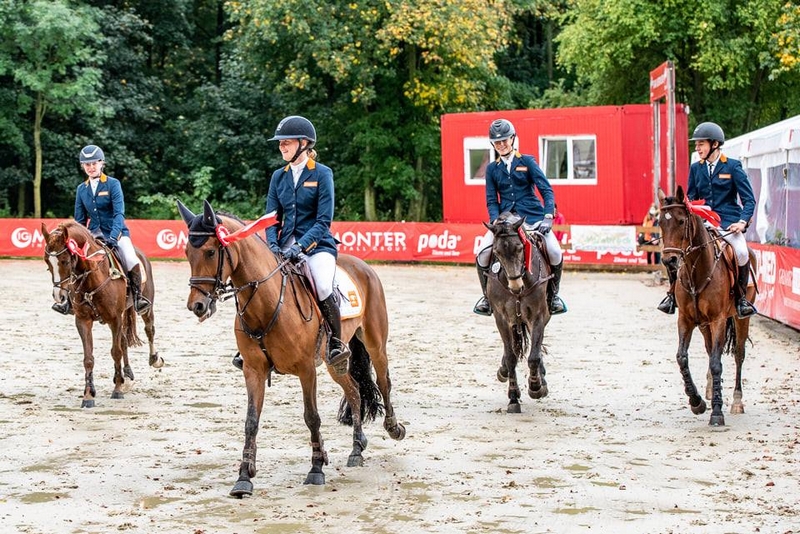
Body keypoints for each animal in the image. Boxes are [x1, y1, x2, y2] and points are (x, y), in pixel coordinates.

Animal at [41, 220, 163, 408]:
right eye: (47, 262)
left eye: (65, 261)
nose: (59, 296)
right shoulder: (83, 320)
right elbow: (88, 358)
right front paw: (88, 395)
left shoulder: (114, 319)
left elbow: (116, 352)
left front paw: (117, 390)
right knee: (123, 341)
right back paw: (126, 376)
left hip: (145, 307)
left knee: (149, 330)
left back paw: (154, 360)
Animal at [177, 200, 404, 498]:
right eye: (187, 252)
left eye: (211, 251)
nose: (197, 306)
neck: (266, 302)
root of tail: (362, 265)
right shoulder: (253, 370)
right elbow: (251, 421)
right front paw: (244, 477)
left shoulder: (307, 370)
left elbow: (312, 417)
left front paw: (316, 469)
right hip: (335, 361)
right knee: (354, 391)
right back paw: (356, 450)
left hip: (375, 343)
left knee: (384, 381)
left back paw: (394, 428)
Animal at [484, 213, 552, 414]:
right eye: (497, 253)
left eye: (520, 248)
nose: (516, 287)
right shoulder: (501, 319)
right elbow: (511, 357)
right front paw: (513, 397)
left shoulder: (537, 316)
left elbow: (534, 356)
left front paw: (536, 387)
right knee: (511, 349)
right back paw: (503, 370)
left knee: (536, 348)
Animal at [656, 188, 756, 428]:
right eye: (660, 223)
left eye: (682, 221)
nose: (669, 260)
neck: (697, 270)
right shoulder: (686, 319)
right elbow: (682, 358)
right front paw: (696, 401)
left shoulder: (718, 319)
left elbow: (717, 362)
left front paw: (717, 412)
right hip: (703, 325)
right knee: (711, 350)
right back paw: (710, 391)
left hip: (740, 319)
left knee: (738, 355)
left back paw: (736, 401)